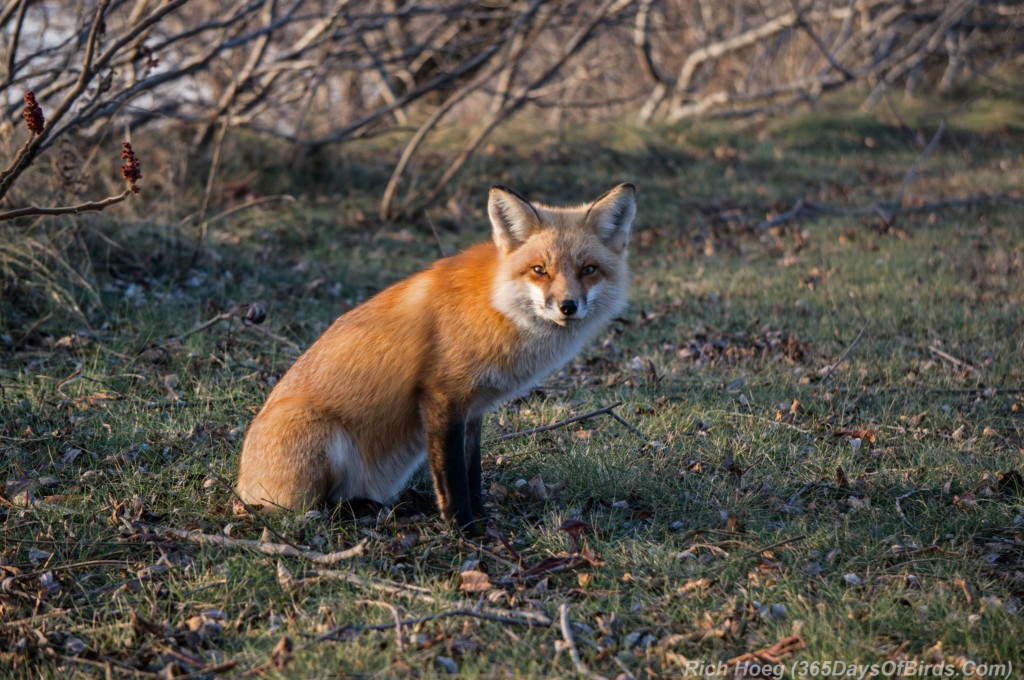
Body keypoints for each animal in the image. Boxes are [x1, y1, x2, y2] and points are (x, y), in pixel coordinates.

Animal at [236, 183, 634, 532]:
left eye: (588, 270)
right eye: (540, 270)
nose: (568, 306)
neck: (495, 304)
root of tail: (240, 487)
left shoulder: (473, 410)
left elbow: (472, 473)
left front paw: (482, 520)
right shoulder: (441, 397)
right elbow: (452, 477)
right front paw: (465, 531)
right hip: (323, 436)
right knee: (315, 509)